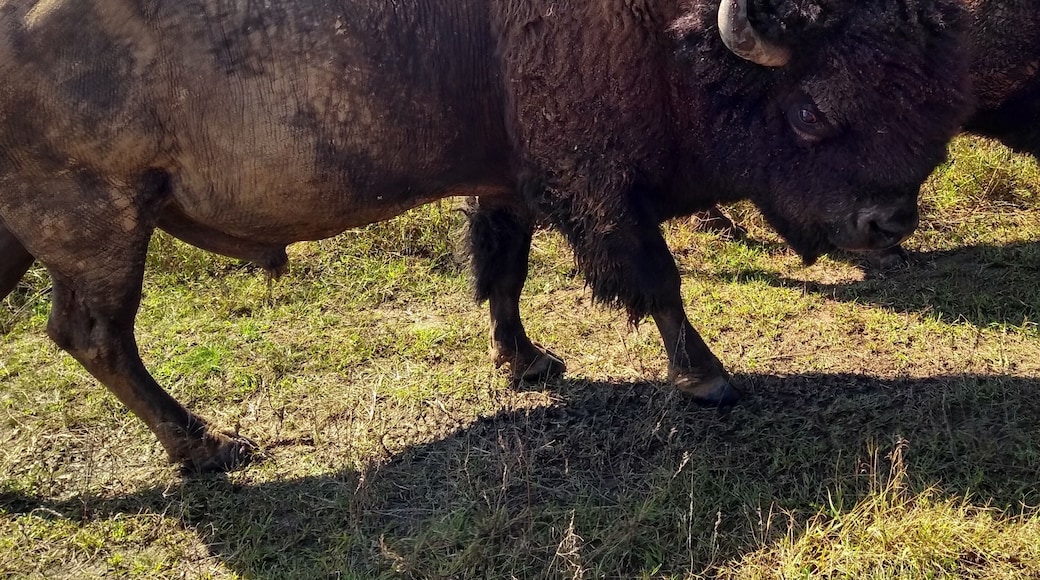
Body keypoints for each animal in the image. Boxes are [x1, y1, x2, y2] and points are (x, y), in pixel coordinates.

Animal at [0, 0, 971, 471]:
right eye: (808, 110)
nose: (891, 221)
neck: (667, 28)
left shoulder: (507, 184)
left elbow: (505, 273)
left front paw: (527, 362)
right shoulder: (593, 183)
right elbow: (656, 281)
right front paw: (707, 377)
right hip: (103, 223)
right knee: (97, 334)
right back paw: (208, 447)